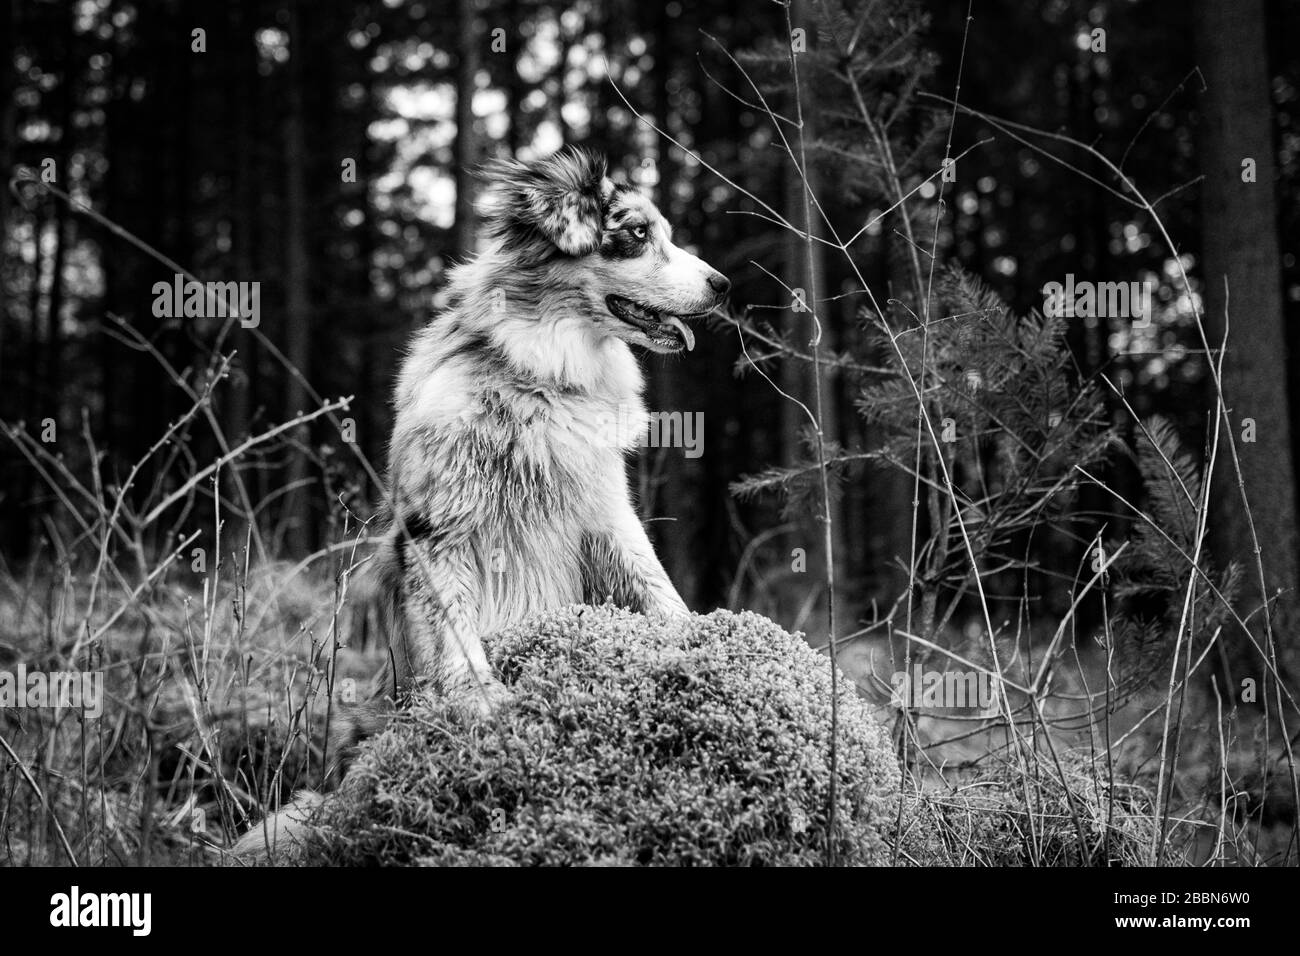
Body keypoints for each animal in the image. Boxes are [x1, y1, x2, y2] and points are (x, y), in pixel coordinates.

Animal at [232, 147, 733, 858]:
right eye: (637, 234)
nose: (724, 285)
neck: (541, 379)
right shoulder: (438, 531)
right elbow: (455, 630)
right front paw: (482, 702)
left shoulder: (606, 512)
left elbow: (653, 582)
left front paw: (701, 638)